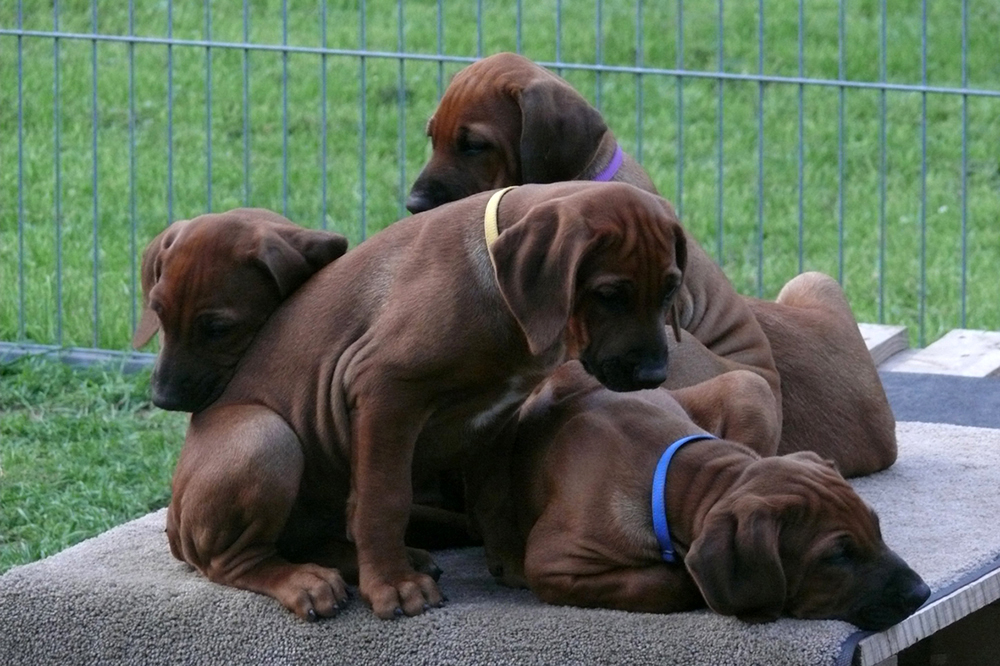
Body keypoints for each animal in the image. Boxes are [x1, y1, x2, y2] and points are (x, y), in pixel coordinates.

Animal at [166, 181, 689, 621]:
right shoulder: (385, 390)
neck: (498, 290)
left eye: (670, 288)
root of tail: (173, 522)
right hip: (265, 436)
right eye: (609, 294)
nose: (654, 375)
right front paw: (394, 587)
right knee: (233, 560)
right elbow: (384, 500)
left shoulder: (497, 421)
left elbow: (495, 500)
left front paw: (512, 564)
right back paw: (304, 582)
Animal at [492, 361, 929, 631]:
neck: (677, 475)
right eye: (837, 555)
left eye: (877, 528)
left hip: (749, 385)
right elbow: (662, 583)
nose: (922, 594)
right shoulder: (551, 564)